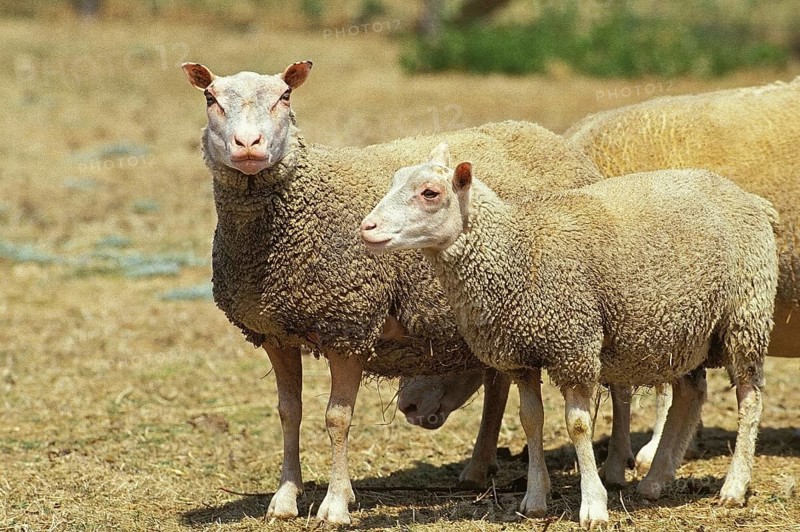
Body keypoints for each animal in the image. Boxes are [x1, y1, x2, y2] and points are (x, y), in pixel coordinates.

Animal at [181, 61, 605, 524]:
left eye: (285, 97)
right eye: (210, 98)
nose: (248, 145)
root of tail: (541, 133)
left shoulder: (349, 323)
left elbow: (337, 418)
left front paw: (334, 504)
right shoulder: (275, 333)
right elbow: (288, 412)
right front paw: (286, 497)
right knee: (498, 384)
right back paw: (478, 467)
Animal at [361, 146, 778, 528]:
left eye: (430, 192)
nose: (367, 228)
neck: (519, 253)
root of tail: (750, 198)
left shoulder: (574, 345)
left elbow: (578, 425)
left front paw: (593, 505)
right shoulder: (521, 357)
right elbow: (530, 420)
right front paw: (534, 499)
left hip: (745, 316)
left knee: (749, 399)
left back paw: (733, 487)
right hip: (684, 332)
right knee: (690, 396)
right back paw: (655, 481)